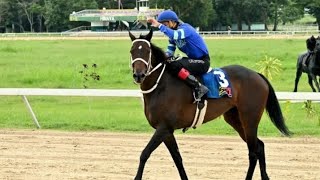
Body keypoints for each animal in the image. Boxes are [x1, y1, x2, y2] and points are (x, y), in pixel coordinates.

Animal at [129, 28, 292, 179]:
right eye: (132, 51)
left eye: (147, 51)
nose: (139, 75)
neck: (161, 85)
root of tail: (257, 75)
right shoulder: (167, 131)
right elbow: (177, 158)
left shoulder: (164, 127)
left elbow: (144, 154)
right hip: (235, 119)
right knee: (259, 146)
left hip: (249, 119)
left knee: (253, 151)